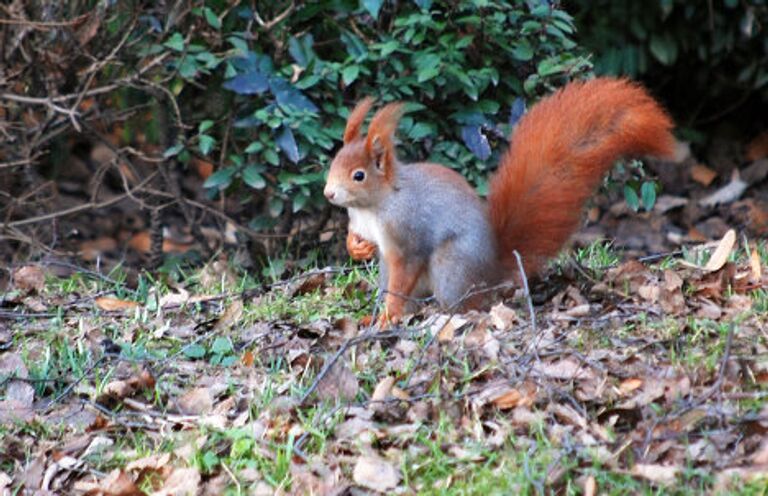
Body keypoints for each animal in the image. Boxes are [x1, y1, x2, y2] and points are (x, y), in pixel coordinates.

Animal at [324, 76, 680, 326]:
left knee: (467, 303)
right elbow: (360, 241)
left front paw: (389, 315)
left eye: (359, 175)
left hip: (451, 267)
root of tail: (492, 271)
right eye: (334, 161)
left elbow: (405, 269)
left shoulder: (407, 232)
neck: (374, 205)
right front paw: (356, 247)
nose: (328, 193)